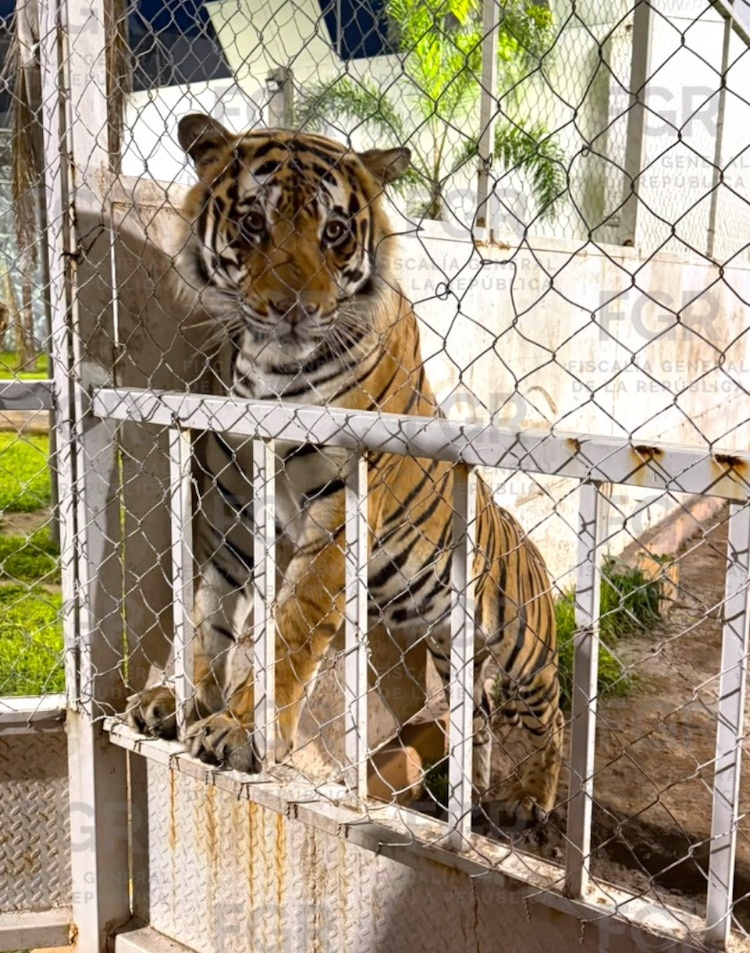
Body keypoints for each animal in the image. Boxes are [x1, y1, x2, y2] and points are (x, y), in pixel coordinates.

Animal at [128, 112, 564, 823]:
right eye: (253, 222)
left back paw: (528, 799)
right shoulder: (231, 517)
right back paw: (460, 798)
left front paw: (237, 729)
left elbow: (290, 631)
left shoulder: (338, 510)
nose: (294, 308)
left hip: (523, 646)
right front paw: (180, 703)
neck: (266, 374)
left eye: (334, 232)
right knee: (473, 717)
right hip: (452, 650)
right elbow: (207, 623)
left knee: (548, 716)